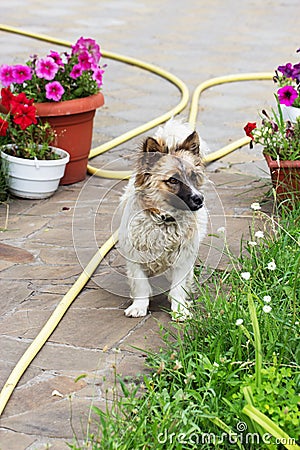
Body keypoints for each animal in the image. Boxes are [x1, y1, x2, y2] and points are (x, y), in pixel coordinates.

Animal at [118, 118, 207, 318]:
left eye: (193, 176)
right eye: (173, 180)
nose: (199, 199)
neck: (164, 220)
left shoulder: (183, 258)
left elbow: (178, 287)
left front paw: (179, 309)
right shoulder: (135, 257)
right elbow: (141, 285)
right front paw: (139, 306)